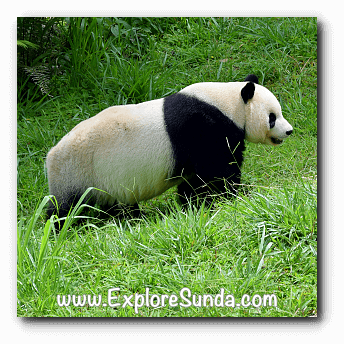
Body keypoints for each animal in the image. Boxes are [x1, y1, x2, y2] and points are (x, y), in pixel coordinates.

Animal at [45, 74, 292, 227]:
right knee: (65, 207)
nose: (289, 131)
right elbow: (218, 168)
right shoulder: (202, 127)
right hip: (77, 171)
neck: (227, 103)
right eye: (272, 117)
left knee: (114, 205)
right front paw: (236, 194)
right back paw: (61, 229)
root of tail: (50, 155)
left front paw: (193, 204)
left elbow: (195, 180)